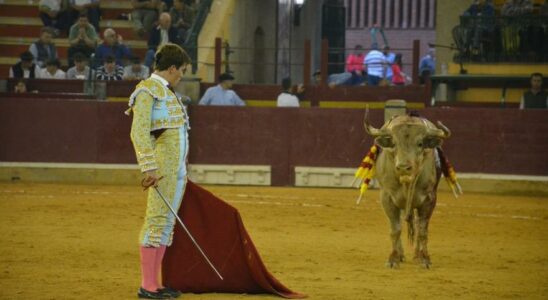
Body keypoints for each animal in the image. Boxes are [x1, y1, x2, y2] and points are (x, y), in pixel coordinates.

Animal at [364, 111, 450, 268]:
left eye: (420, 143)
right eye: (394, 143)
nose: (403, 167)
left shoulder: (429, 199)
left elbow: (422, 231)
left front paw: (424, 258)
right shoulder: (386, 198)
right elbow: (395, 229)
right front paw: (393, 258)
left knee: (416, 223)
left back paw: (416, 254)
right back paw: (401, 254)